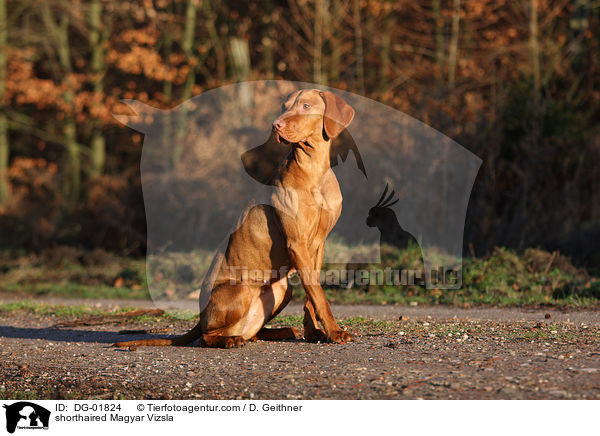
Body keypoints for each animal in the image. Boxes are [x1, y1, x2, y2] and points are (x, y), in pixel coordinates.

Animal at [115, 88, 354, 348]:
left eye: (306, 106)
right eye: (284, 106)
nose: (276, 125)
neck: (314, 171)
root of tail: (200, 319)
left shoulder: (318, 244)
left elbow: (312, 293)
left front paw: (315, 333)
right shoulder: (297, 243)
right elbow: (318, 294)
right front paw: (335, 331)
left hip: (281, 288)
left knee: (251, 331)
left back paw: (280, 331)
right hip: (239, 289)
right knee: (207, 337)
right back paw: (230, 340)